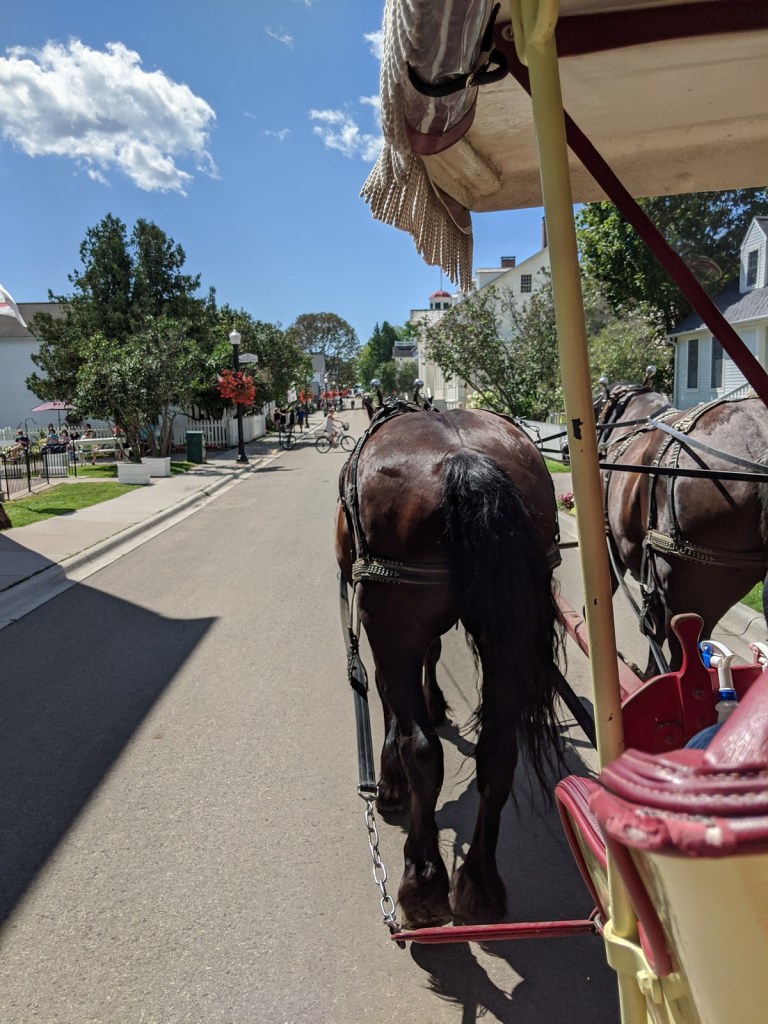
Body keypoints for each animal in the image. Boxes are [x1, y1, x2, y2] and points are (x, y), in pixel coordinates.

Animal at [335, 404, 565, 928]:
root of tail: (466, 461)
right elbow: (435, 653)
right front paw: (438, 704)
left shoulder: (383, 628)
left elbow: (392, 705)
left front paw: (391, 784)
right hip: (505, 629)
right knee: (498, 753)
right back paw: (479, 886)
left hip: (393, 619)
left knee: (423, 750)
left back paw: (422, 884)